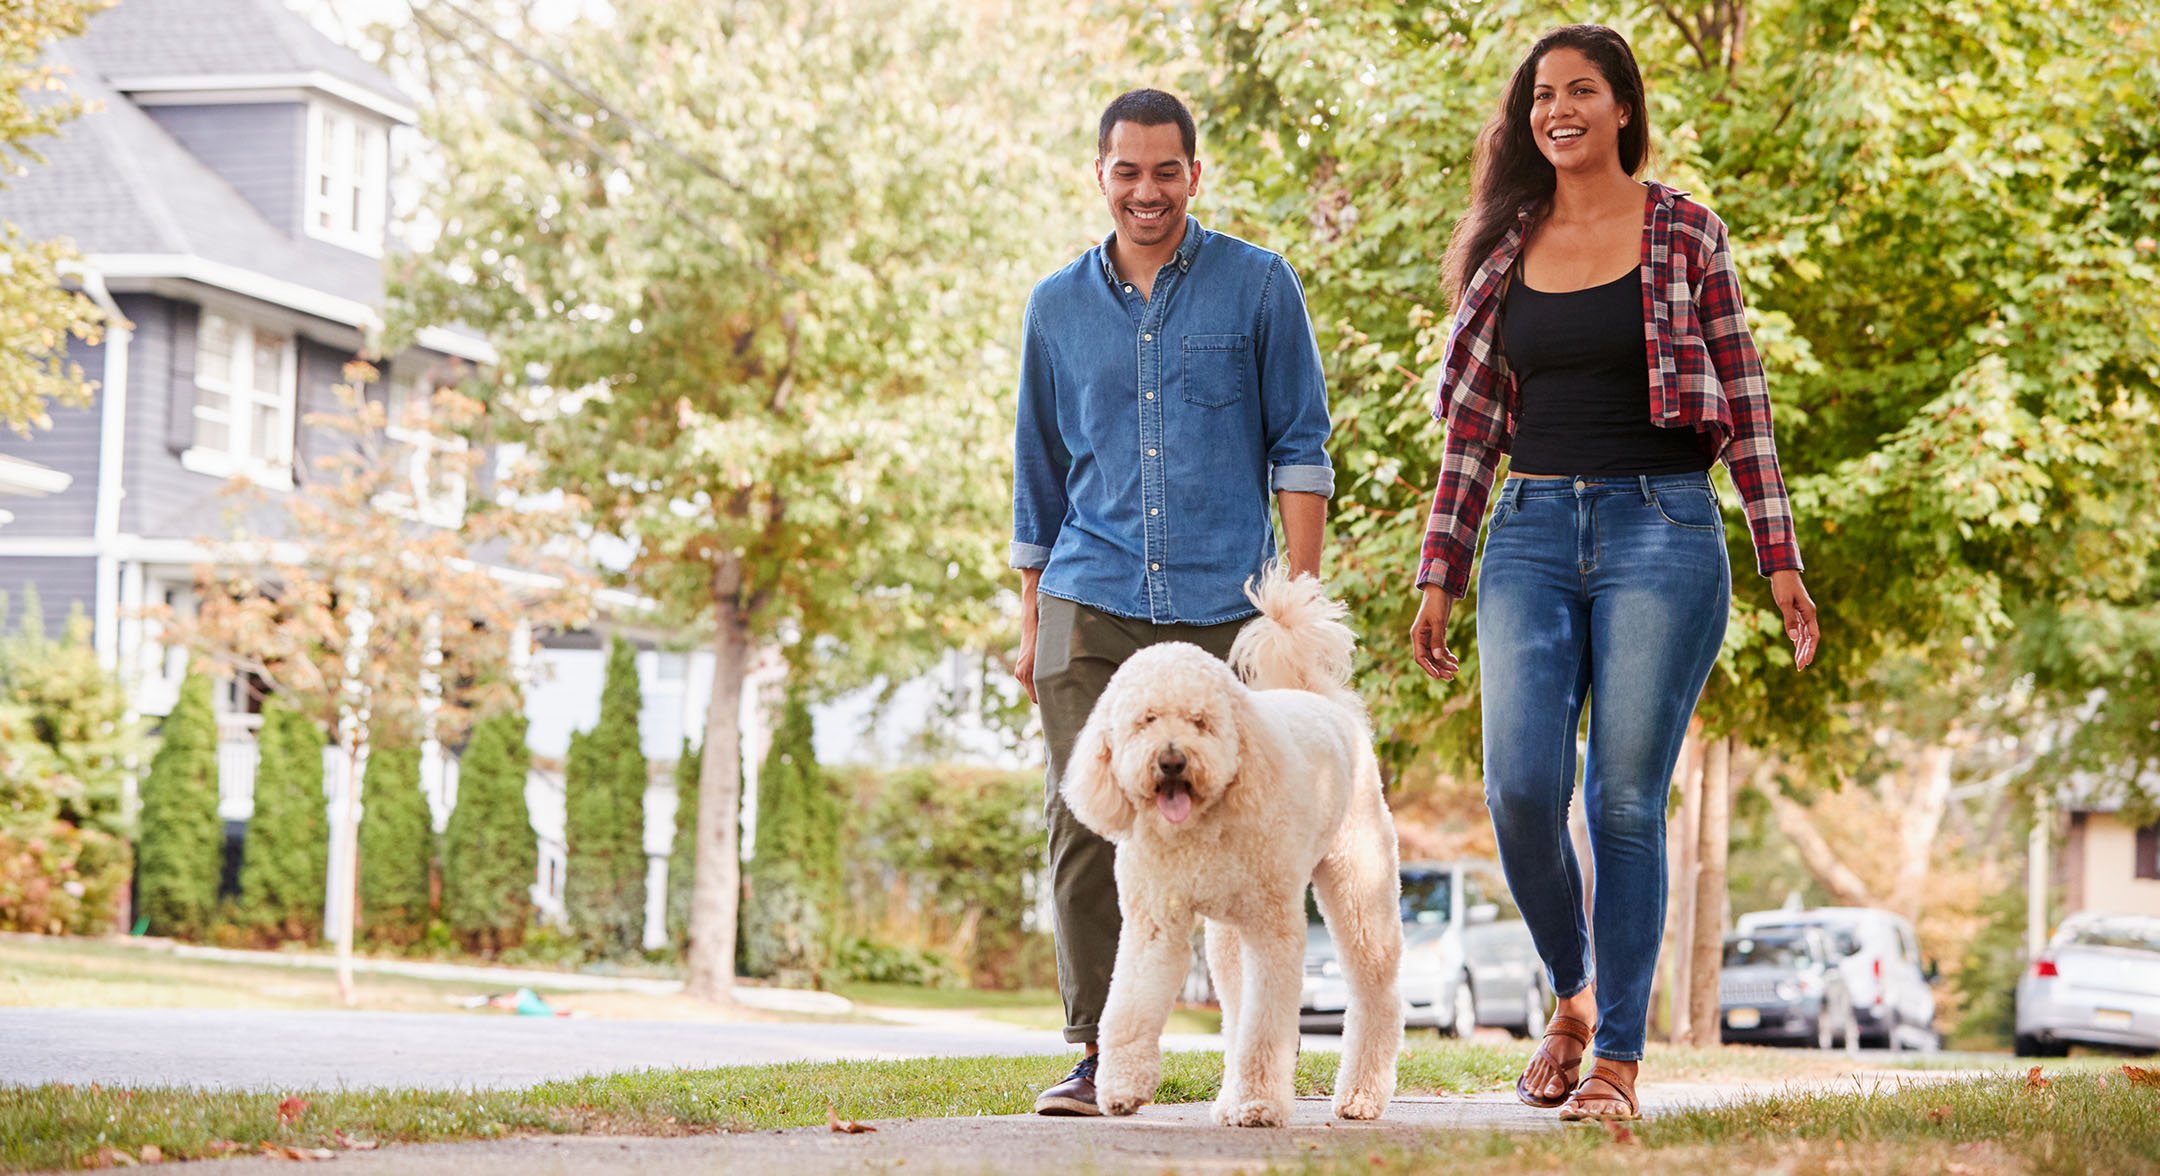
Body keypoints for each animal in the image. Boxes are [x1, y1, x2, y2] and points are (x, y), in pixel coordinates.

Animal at [1058, 566, 1399, 1124]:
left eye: (1201, 721)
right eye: (1145, 720)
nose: (1171, 761)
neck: (1199, 828)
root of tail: (1322, 701)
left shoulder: (1272, 930)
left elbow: (1267, 1026)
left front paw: (1258, 1102)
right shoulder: (1154, 923)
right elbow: (1130, 1004)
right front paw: (1122, 1085)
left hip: (1359, 890)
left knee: (1375, 993)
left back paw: (1360, 1095)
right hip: (1226, 937)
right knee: (1237, 1007)